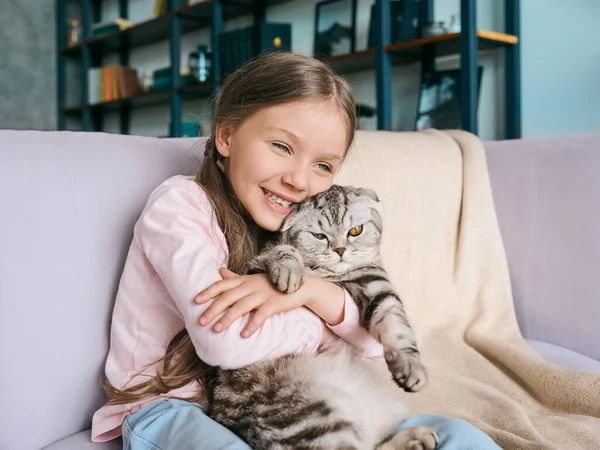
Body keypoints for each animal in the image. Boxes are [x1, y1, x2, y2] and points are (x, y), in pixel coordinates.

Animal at [204, 185, 434, 448]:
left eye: (355, 231)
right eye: (319, 236)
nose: (340, 250)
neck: (332, 278)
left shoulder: (379, 289)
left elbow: (399, 331)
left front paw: (411, 368)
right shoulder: (254, 268)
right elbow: (281, 250)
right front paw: (289, 269)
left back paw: (417, 437)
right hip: (318, 418)